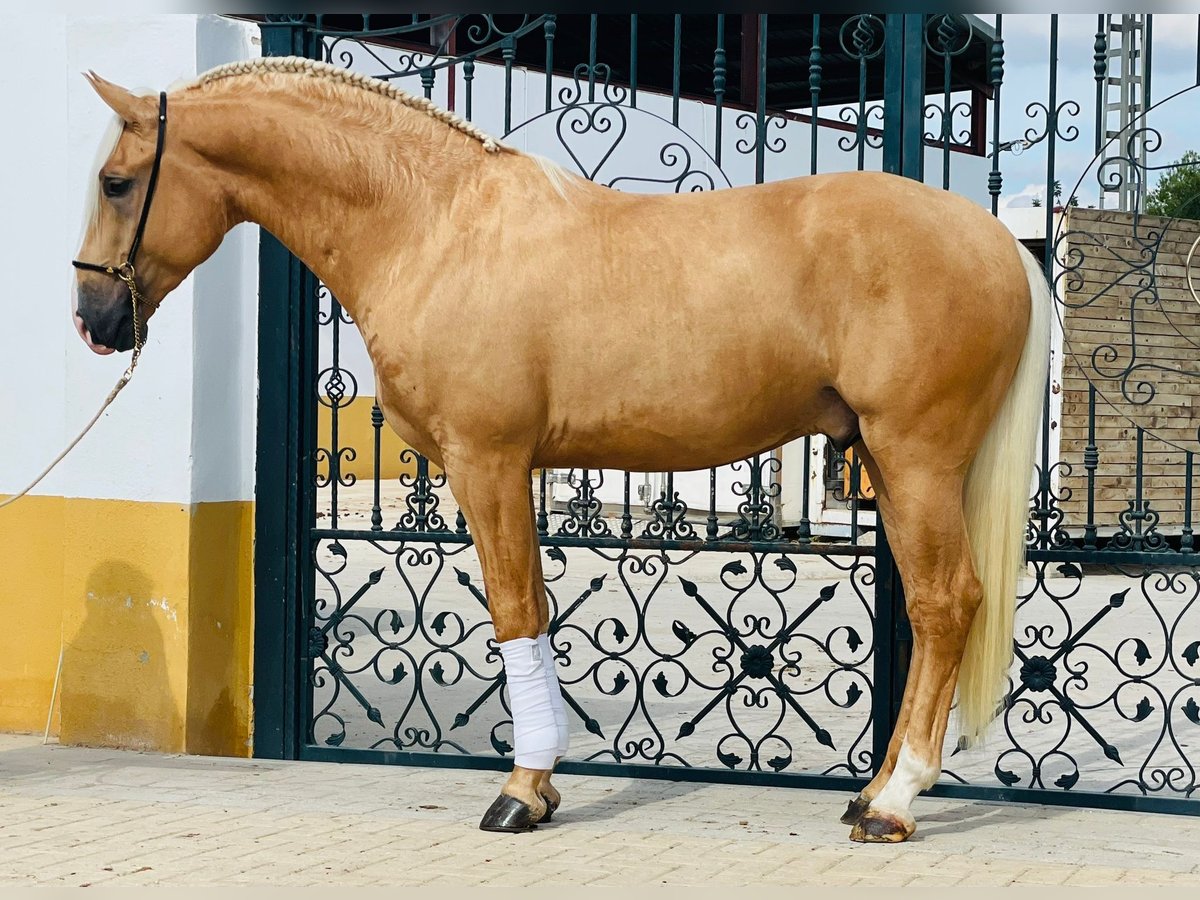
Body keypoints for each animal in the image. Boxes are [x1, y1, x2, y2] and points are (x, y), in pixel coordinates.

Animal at [75, 56, 1051, 844]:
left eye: (118, 183)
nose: (95, 320)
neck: (433, 225)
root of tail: (997, 237)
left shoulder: (488, 461)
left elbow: (514, 613)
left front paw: (521, 791)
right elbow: (536, 609)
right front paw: (540, 790)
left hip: (916, 457)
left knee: (945, 603)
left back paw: (895, 802)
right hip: (886, 462)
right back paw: (870, 791)